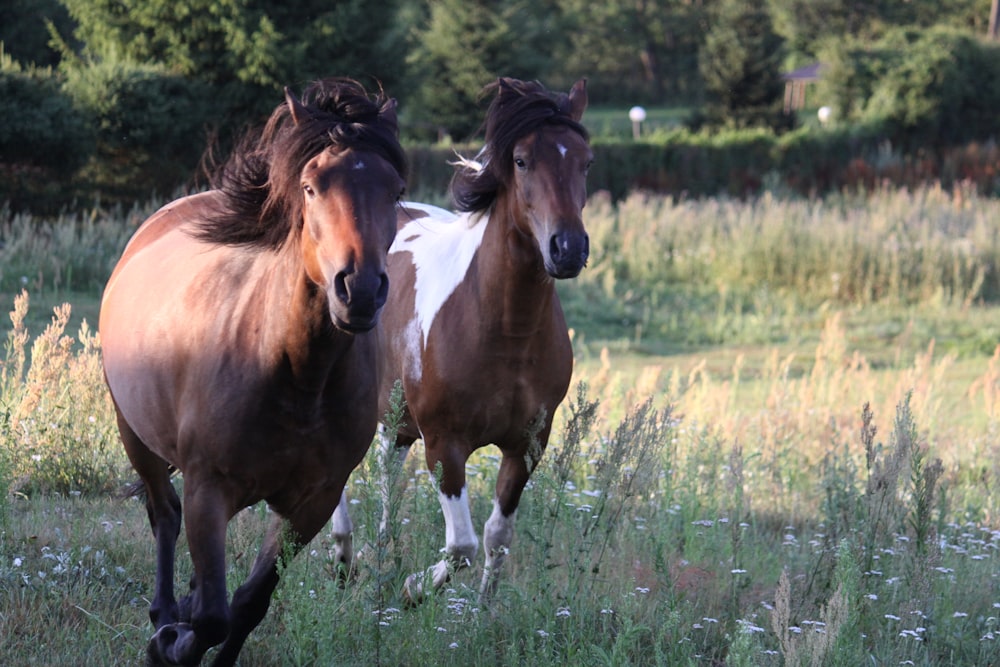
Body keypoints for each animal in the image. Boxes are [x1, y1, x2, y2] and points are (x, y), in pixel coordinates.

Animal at [100, 79, 406, 667]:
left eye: (396, 190)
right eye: (310, 188)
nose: (359, 289)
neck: (295, 376)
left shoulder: (314, 502)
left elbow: (246, 606)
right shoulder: (209, 490)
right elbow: (213, 616)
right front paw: (168, 644)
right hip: (135, 435)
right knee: (163, 514)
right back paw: (165, 614)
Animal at [332, 79, 588, 604]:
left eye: (586, 162)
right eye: (521, 160)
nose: (568, 248)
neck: (506, 331)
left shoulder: (527, 445)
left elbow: (497, 537)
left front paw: (481, 611)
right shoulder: (444, 444)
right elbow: (462, 545)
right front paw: (412, 590)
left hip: (395, 421)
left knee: (387, 482)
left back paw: (374, 557)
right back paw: (344, 556)